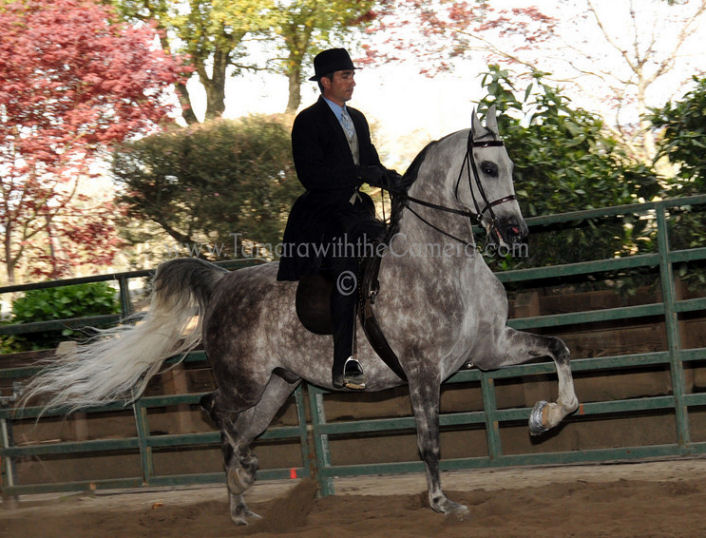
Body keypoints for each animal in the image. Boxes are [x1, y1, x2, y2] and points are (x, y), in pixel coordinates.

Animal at [21, 106, 579, 524]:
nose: (517, 233)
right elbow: (429, 443)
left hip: (277, 386)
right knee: (216, 411)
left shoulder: (489, 350)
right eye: (487, 169)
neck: (443, 261)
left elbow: (558, 349)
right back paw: (243, 475)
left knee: (241, 428)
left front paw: (549, 415)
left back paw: (241, 505)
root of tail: (222, 282)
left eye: (510, 167)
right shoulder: (422, 371)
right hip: (245, 380)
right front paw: (442, 503)